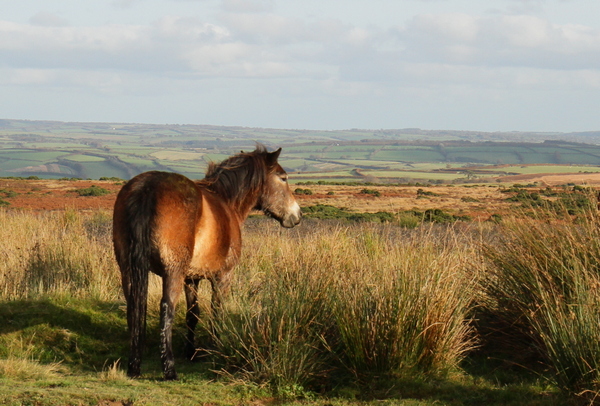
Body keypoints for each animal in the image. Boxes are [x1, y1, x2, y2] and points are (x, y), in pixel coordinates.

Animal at [110, 147, 302, 380]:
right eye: (283, 178)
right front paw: (216, 347)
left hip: (127, 268)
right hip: (172, 271)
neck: (227, 202)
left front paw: (192, 352)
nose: (297, 215)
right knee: (167, 308)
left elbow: (193, 314)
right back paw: (169, 368)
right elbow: (217, 311)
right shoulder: (223, 277)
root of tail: (147, 188)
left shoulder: (191, 278)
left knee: (134, 305)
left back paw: (134, 365)